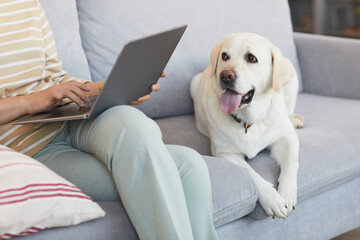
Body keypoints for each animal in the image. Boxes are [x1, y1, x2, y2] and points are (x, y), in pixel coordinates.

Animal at [191, 32, 304, 218]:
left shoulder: (286, 138)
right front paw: (271, 198)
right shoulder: (225, 153)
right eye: (224, 56)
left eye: (251, 58)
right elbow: (250, 173)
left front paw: (287, 193)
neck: (248, 120)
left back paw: (294, 119)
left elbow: (291, 162)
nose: (225, 75)